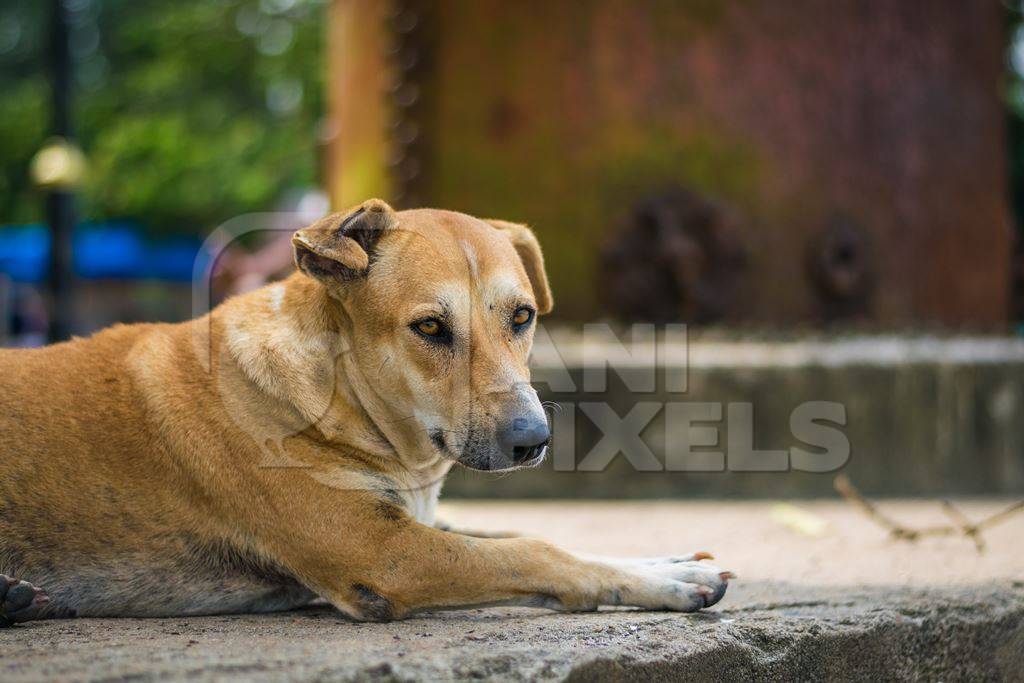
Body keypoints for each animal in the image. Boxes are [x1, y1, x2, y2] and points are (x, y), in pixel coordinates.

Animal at [4, 198, 733, 626]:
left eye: (523, 316)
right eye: (431, 327)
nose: (534, 439)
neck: (341, 399)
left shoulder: (416, 522)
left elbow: (524, 535)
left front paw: (666, 564)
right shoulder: (382, 551)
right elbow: (534, 547)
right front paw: (658, 581)